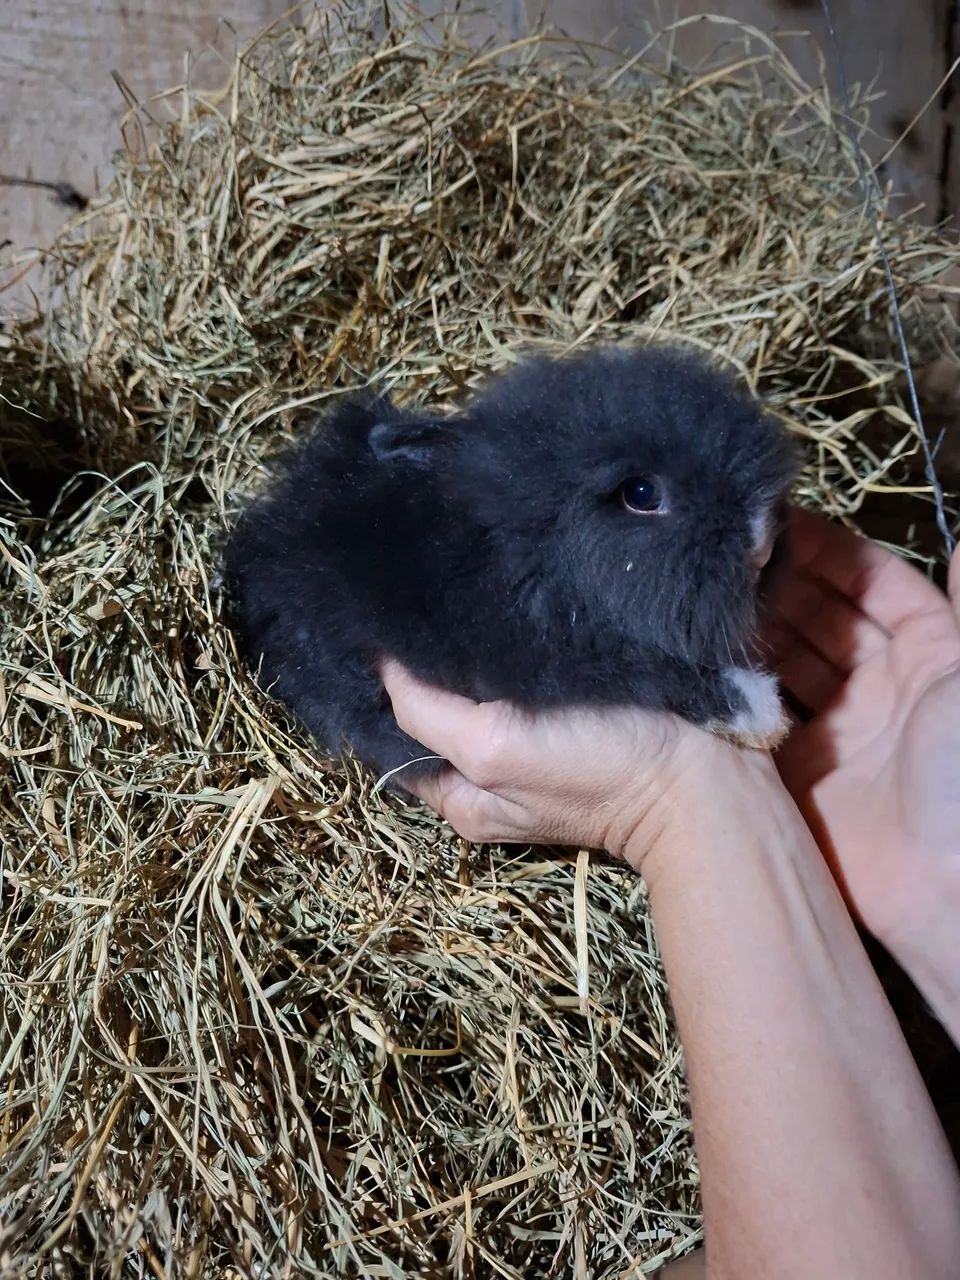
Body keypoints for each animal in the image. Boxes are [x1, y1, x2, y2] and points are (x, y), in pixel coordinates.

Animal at [223, 344, 798, 790]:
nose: (763, 539)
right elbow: (668, 679)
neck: (534, 552)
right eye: (640, 493)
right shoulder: (578, 662)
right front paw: (765, 716)